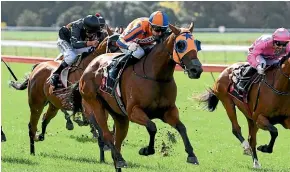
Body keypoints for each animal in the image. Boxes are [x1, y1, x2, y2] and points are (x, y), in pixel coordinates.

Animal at [9, 26, 118, 162]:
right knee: (32, 125)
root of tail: (38, 66)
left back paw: (41, 136)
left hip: (53, 104)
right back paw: (32, 150)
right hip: (36, 103)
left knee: (45, 119)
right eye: (114, 46)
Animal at [69, 22, 203, 171]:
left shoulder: (168, 111)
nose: (196, 70)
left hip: (119, 116)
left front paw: (191, 155)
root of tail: (88, 67)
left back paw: (118, 161)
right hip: (95, 105)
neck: (156, 76)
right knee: (107, 135)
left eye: (196, 43)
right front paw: (146, 150)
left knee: (117, 140)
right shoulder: (134, 112)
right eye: (180, 44)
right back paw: (120, 159)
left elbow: (181, 127)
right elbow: (152, 127)